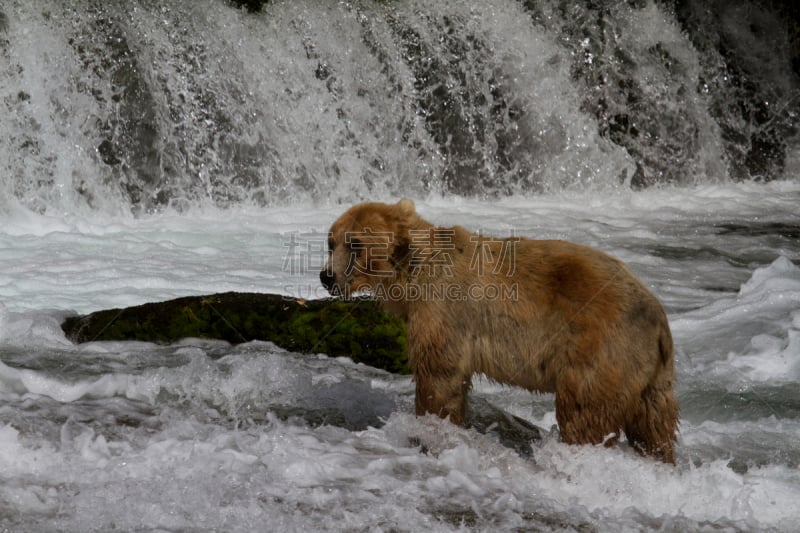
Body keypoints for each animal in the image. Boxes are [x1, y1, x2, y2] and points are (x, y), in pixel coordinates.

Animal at [322, 197, 680, 460]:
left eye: (355, 244)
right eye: (331, 241)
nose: (326, 276)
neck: (411, 276)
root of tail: (658, 318)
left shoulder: (444, 311)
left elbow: (439, 377)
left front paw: (431, 426)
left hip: (600, 347)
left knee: (584, 411)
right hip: (652, 375)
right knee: (654, 427)